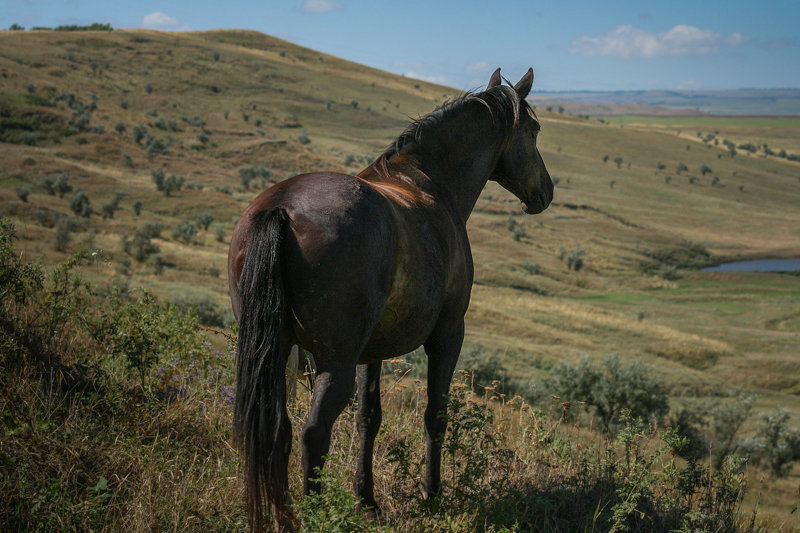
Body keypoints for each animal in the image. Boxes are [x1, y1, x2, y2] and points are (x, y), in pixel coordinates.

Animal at [225, 66, 552, 528]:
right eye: (535, 131)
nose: (546, 192)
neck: (427, 184)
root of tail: (282, 209)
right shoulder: (448, 334)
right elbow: (435, 415)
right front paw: (432, 495)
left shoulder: (371, 352)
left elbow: (369, 418)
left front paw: (367, 499)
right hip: (334, 362)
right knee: (313, 433)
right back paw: (315, 514)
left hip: (277, 351)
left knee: (280, 430)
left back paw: (285, 514)